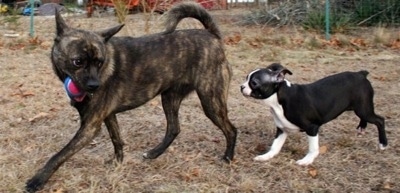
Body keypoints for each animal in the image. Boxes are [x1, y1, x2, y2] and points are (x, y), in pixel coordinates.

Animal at [26, 2, 238, 191]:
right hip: (169, 98)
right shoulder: (108, 116)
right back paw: (154, 153)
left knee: (231, 129)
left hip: (211, 101)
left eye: (100, 62)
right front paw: (118, 163)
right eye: (77, 61)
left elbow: (60, 155)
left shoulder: (90, 126)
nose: (95, 85)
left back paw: (227, 157)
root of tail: (212, 35)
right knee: (174, 128)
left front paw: (37, 180)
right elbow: (117, 140)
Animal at [241, 63, 388, 166]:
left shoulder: (312, 128)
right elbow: (275, 146)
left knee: (380, 120)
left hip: (363, 108)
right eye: (246, 78)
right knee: (366, 118)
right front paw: (266, 156)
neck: (279, 99)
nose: (241, 86)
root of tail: (361, 74)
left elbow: (313, 148)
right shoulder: (282, 129)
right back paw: (362, 128)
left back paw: (383, 144)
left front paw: (307, 160)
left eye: (254, 83)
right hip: (361, 108)